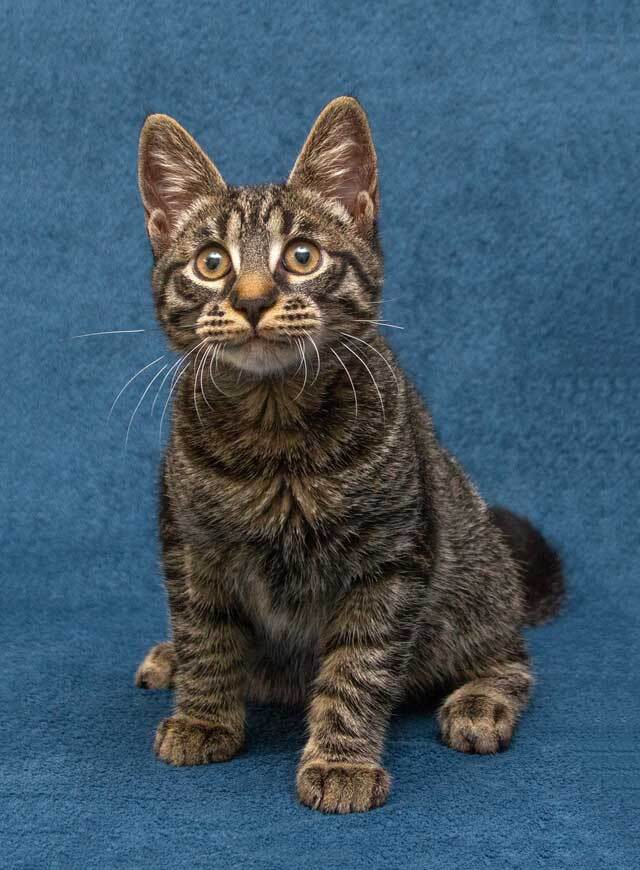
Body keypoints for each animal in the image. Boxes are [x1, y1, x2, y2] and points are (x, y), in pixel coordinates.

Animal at [134, 97, 564, 814]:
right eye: (212, 263)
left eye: (303, 256)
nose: (253, 300)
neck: (276, 440)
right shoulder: (190, 546)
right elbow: (206, 634)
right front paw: (202, 715)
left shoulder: (393, 561)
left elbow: (358, 666)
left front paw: (341, 760)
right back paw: (173, 660)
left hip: (471, 575)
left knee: (512, 653)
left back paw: (481, 701)